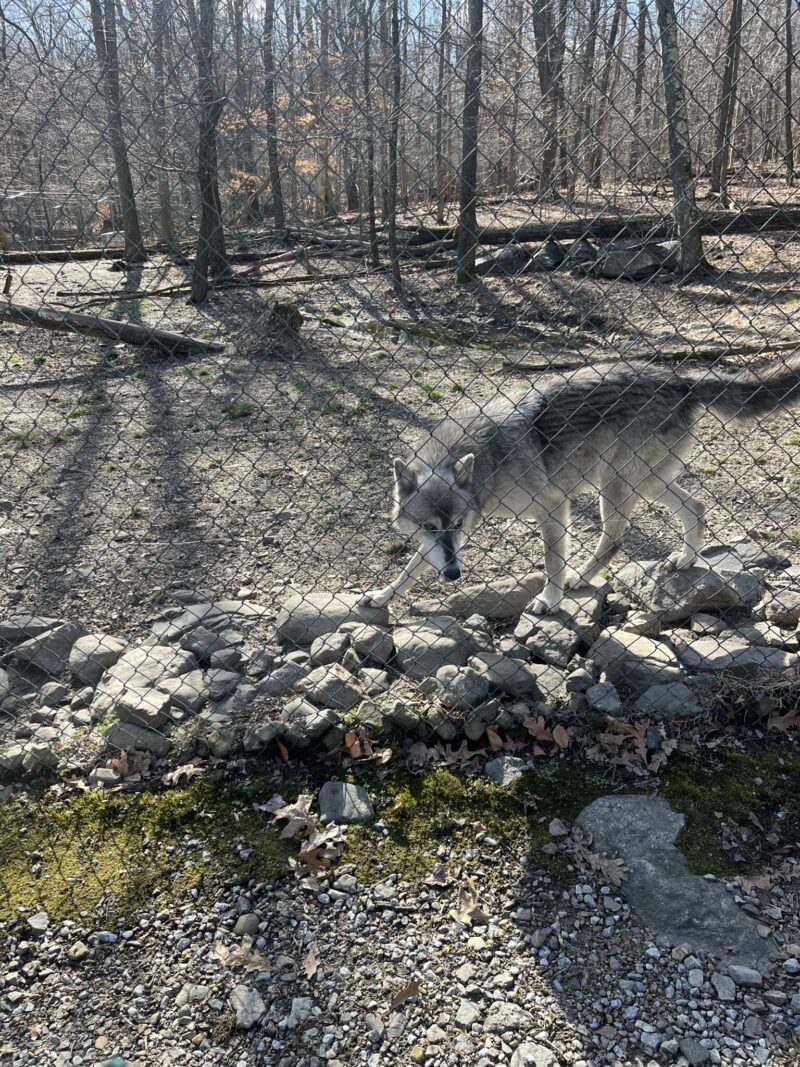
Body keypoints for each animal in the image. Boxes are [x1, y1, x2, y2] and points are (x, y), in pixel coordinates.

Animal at [362, 357, 800, 616]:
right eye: (430, 527)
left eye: (454, 524)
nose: (453, 576)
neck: (485, 459)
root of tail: (679, 378)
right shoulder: (442, 542)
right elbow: (410, 570)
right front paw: (382, 597)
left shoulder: (554, 507)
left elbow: (553, 564)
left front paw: (550, 600)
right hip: (647, 483)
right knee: (696, 508)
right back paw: (685, 560)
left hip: (617, 485)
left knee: (616, 538)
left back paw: (583, 579)